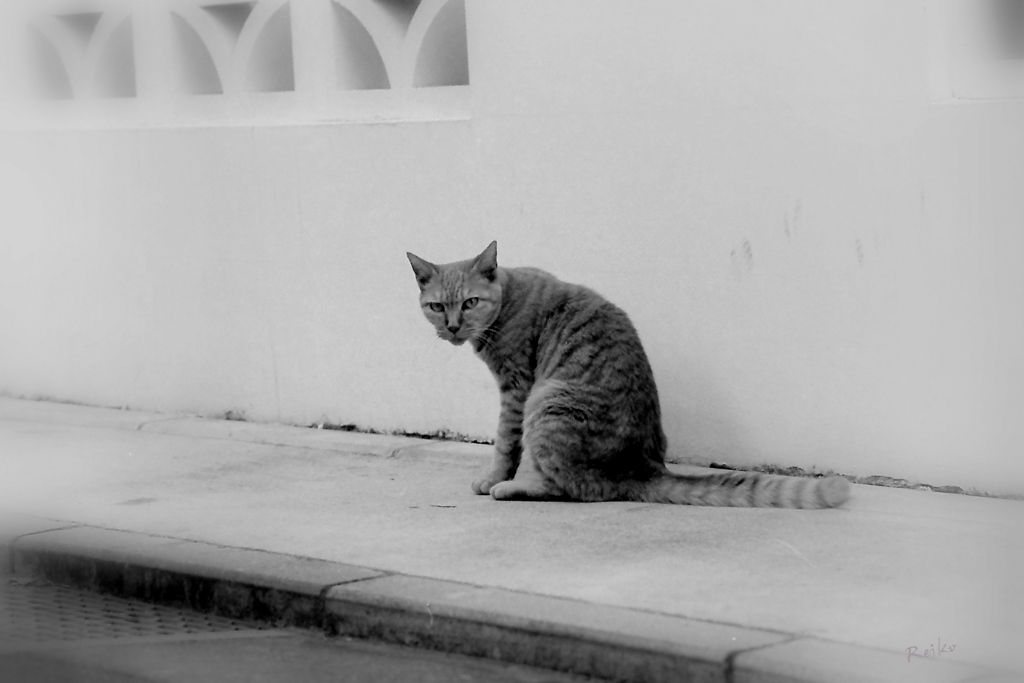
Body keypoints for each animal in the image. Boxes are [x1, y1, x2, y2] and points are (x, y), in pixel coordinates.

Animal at [405, 241, 847, 507]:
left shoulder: (516, 389)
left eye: (470, 302)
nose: (453, 327)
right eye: (437, 307)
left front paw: (494, 475)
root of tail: (641, 467)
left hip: (546, 401)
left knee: (567, 487)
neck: (508, 299)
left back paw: (511, 486)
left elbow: (504, 444)